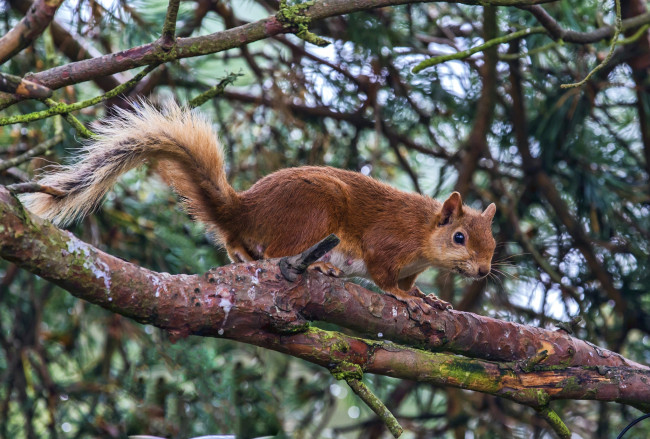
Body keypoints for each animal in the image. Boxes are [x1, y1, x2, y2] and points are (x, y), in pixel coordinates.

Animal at [21, 99, 496, 312]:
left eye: (493, 243)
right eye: (459, 237)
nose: (484, 271)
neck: (423, 232)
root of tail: (245, 209)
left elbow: (412, 282)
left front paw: (428, 297)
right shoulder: (387, 243)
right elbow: (383, 274)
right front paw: (404, 297)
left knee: (241, 250)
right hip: (315, 211)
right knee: (277, 252)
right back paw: (319, 269)